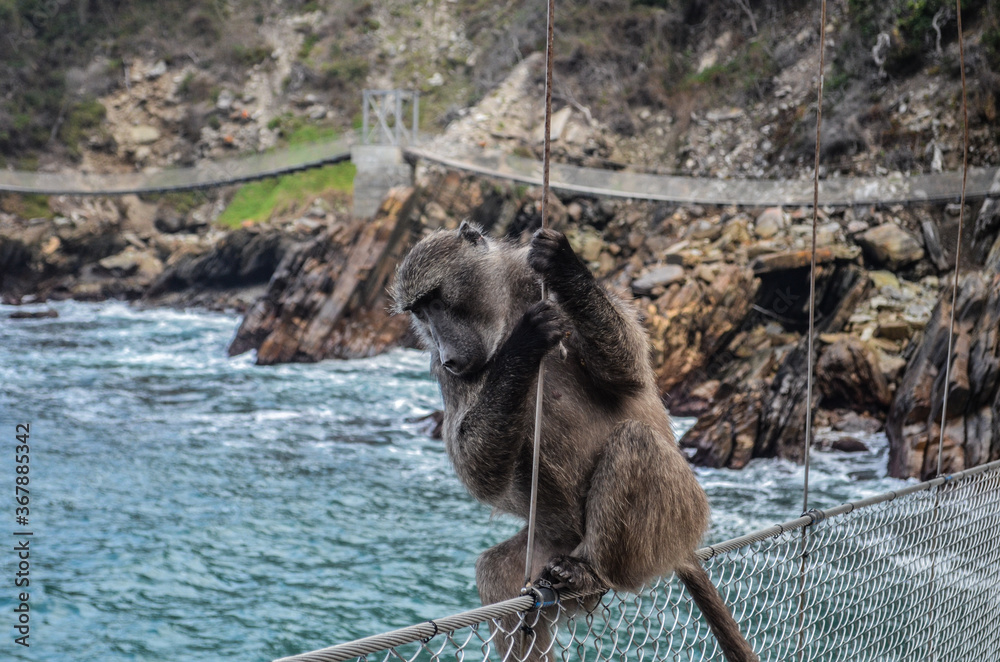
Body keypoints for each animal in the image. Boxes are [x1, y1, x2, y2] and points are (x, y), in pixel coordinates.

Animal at [391, 222, 758, 662]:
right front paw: (525, 344)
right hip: (551, 544)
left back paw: (591, 570)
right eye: (419, 311)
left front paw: (563, 262)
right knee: (497, 574)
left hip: (676, 516)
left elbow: (629, 370)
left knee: (635, 441)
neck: (504, 312)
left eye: (435, 299)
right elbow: (478, 469)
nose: (448, 357)